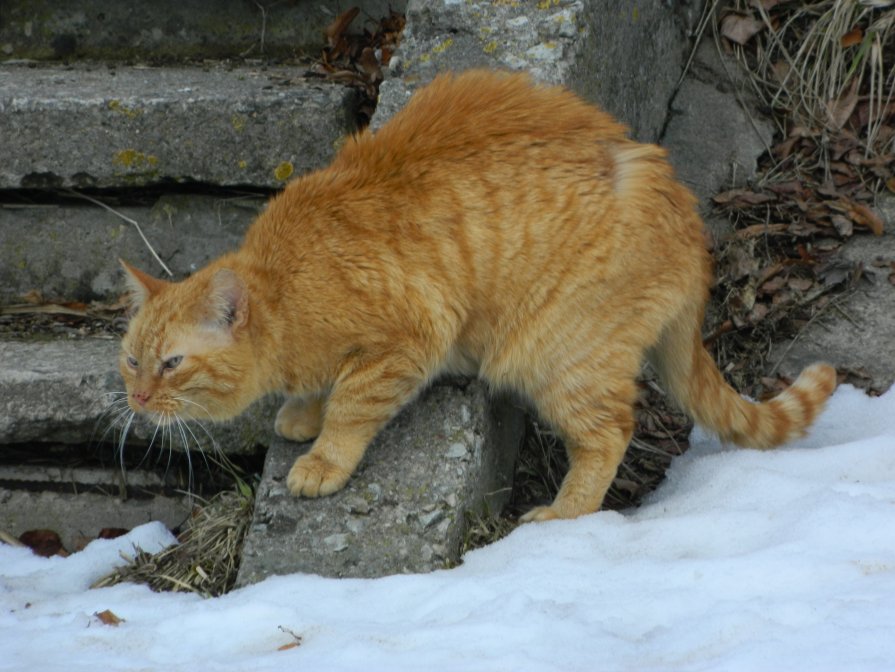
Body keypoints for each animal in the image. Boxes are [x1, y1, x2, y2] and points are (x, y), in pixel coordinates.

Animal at [121, 67, 840, 520]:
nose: (137, 399)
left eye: (171, 363)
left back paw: (562, 516)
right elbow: (321, 391)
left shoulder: (411, 337)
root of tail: (686, 213)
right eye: (131, 361)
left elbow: (352, 406)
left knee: (610, 433)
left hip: (556, 354)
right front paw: (301, 411)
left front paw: (322, 456)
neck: (287, 287)